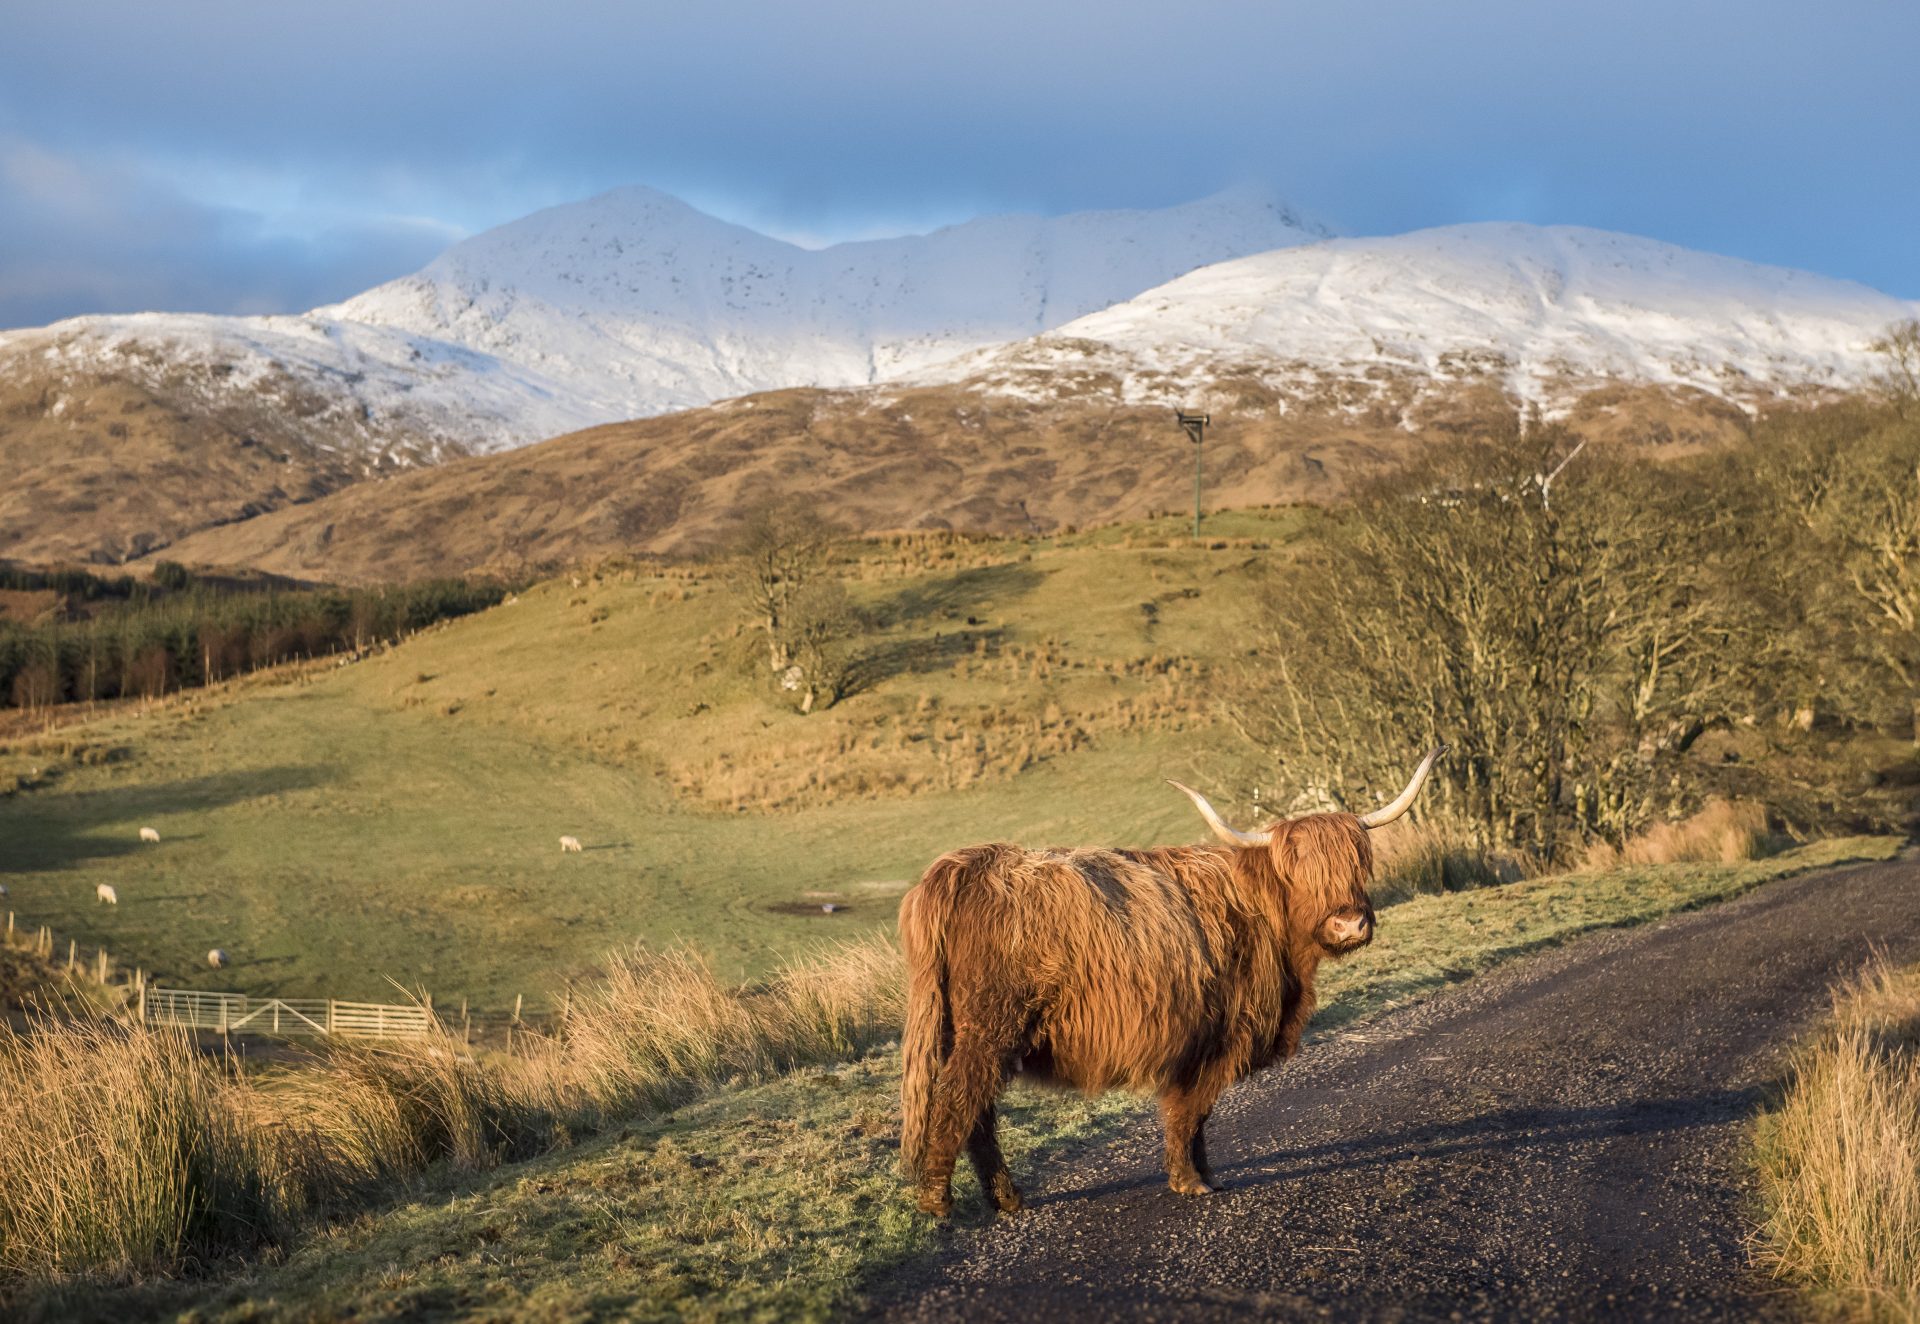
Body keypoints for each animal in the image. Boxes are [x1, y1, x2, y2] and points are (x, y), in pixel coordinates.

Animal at [898, 744, 1443, 1205]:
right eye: (1297, 870)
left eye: (1359, 862)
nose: (1348, 924)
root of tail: (962, 865)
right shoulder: (1223, 1035)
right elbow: (1190, 1111)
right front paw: (1189, 1182)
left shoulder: (1200, 1040)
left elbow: (1194, 1117)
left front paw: (1205, 1174)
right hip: (989, 1027)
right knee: (958, 1100)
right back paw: (939, 1201)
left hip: (967, 1030)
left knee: (976, 1111)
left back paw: (1004, 1199)